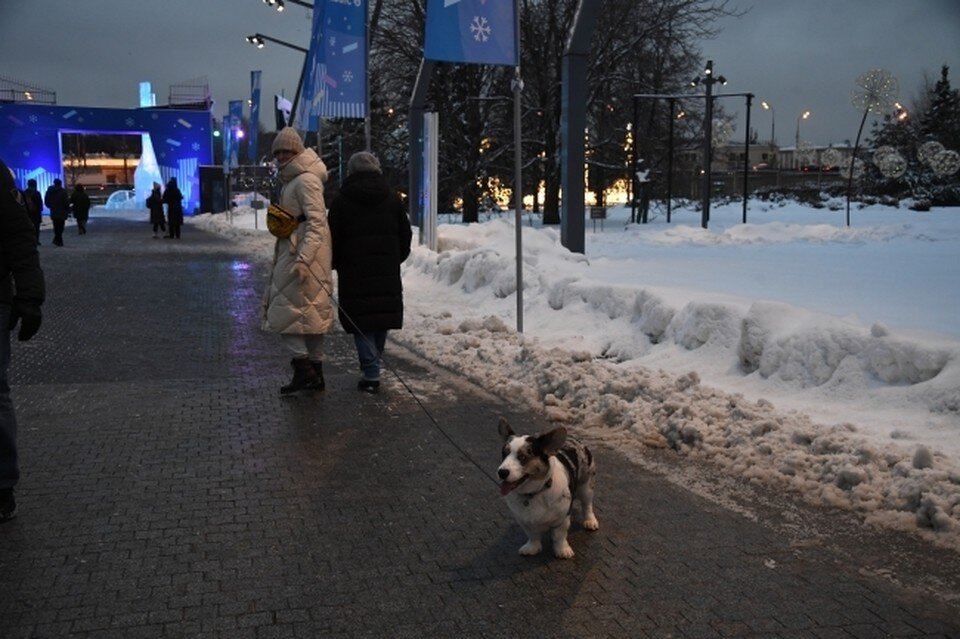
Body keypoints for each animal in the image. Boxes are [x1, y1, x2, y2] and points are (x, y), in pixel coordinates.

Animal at [496, 418, 600, 556]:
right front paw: (532, 548)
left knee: (587, 505)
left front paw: (563, 550)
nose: (501, 472)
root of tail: (576, 440)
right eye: (504, 454)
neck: (534, 492)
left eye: (522, 457)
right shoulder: (524, 521)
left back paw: (590, 521)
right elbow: (533, 535)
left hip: (586, 487)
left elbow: (559, 536)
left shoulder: (561, 519)